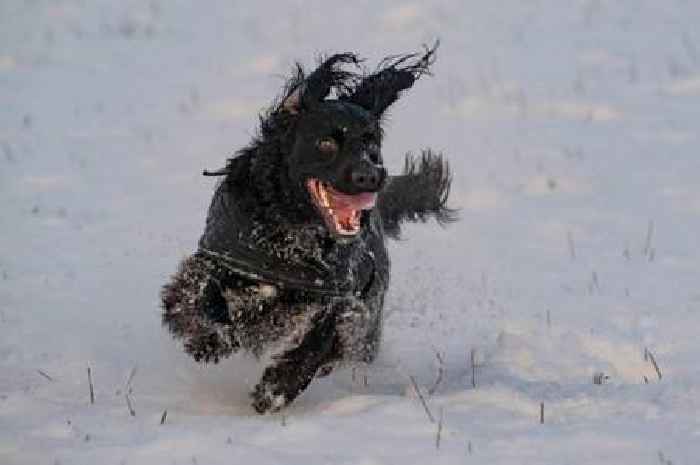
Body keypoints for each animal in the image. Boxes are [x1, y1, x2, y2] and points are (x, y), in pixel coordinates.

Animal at [161, 44, 454, 414]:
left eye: (372, 144)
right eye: (327, 143)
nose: (372, 176)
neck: (290, 235)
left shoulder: (342, 302)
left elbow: (318, 342)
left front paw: (276, 389)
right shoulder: (213, 260)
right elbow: (199, 297)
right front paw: (210, 340)